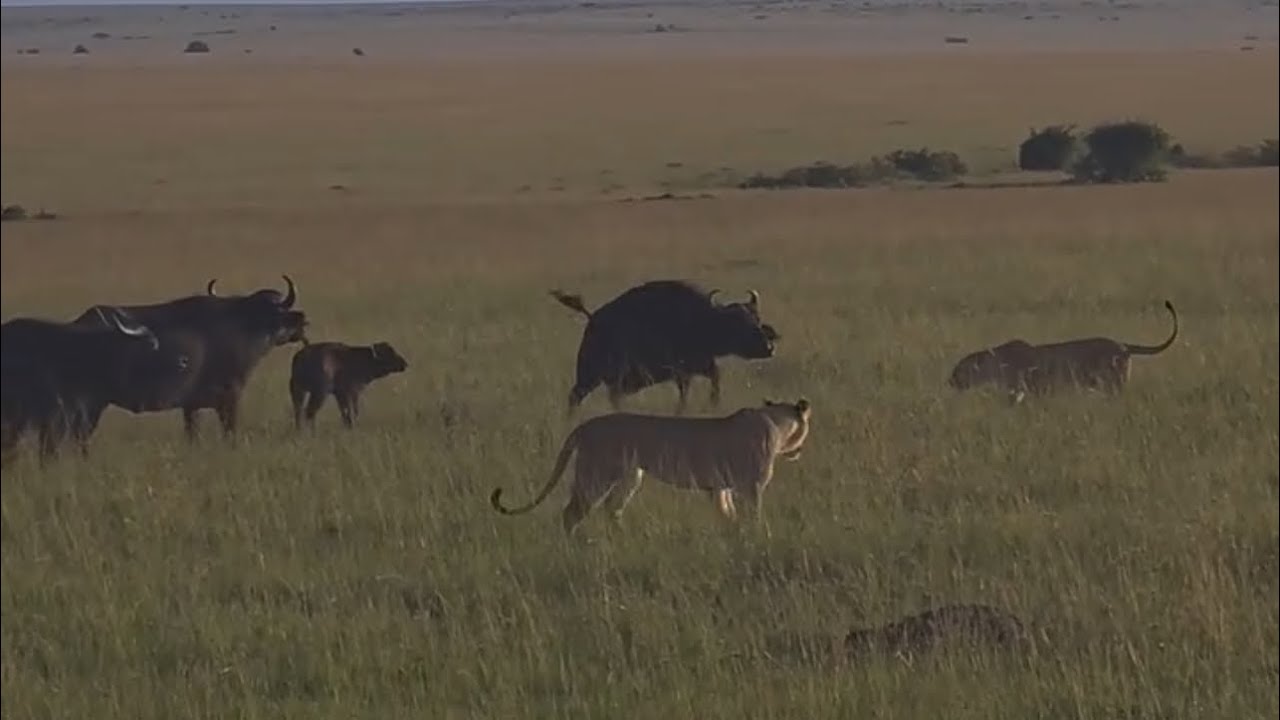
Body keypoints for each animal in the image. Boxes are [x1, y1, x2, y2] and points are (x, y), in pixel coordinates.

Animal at [70, 275, 308, 441]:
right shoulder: (231, 398)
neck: (243, 328)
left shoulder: (191, 406)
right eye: (274, 312)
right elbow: (229, 432)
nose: (301, 327)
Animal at [489, 398, 812, 535]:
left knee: (612, 509)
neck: (776, 421)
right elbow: (752, 514)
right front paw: (756, 535)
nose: (799, 451)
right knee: (572, 512)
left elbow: (727, 512)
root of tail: (585, 425)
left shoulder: (720, 487)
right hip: (596, 474)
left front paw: (733, 532)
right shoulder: (750, 486)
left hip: (631, 477)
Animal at [550, 280, 780, 415]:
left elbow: (715, 378)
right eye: (737, 322)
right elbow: (686, 391)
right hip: (589, 376)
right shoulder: (682, 371)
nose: (768, 348)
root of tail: (592, 319)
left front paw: (713, 402)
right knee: (575, 397)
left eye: (757, 320)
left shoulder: (701, 365)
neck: (702, 320)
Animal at [948, 300, 1178, 403]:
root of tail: (1122, 344)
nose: (949, 381)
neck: (995, 364)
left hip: (1114, 383)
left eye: (958, 369)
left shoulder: (1026, 387)